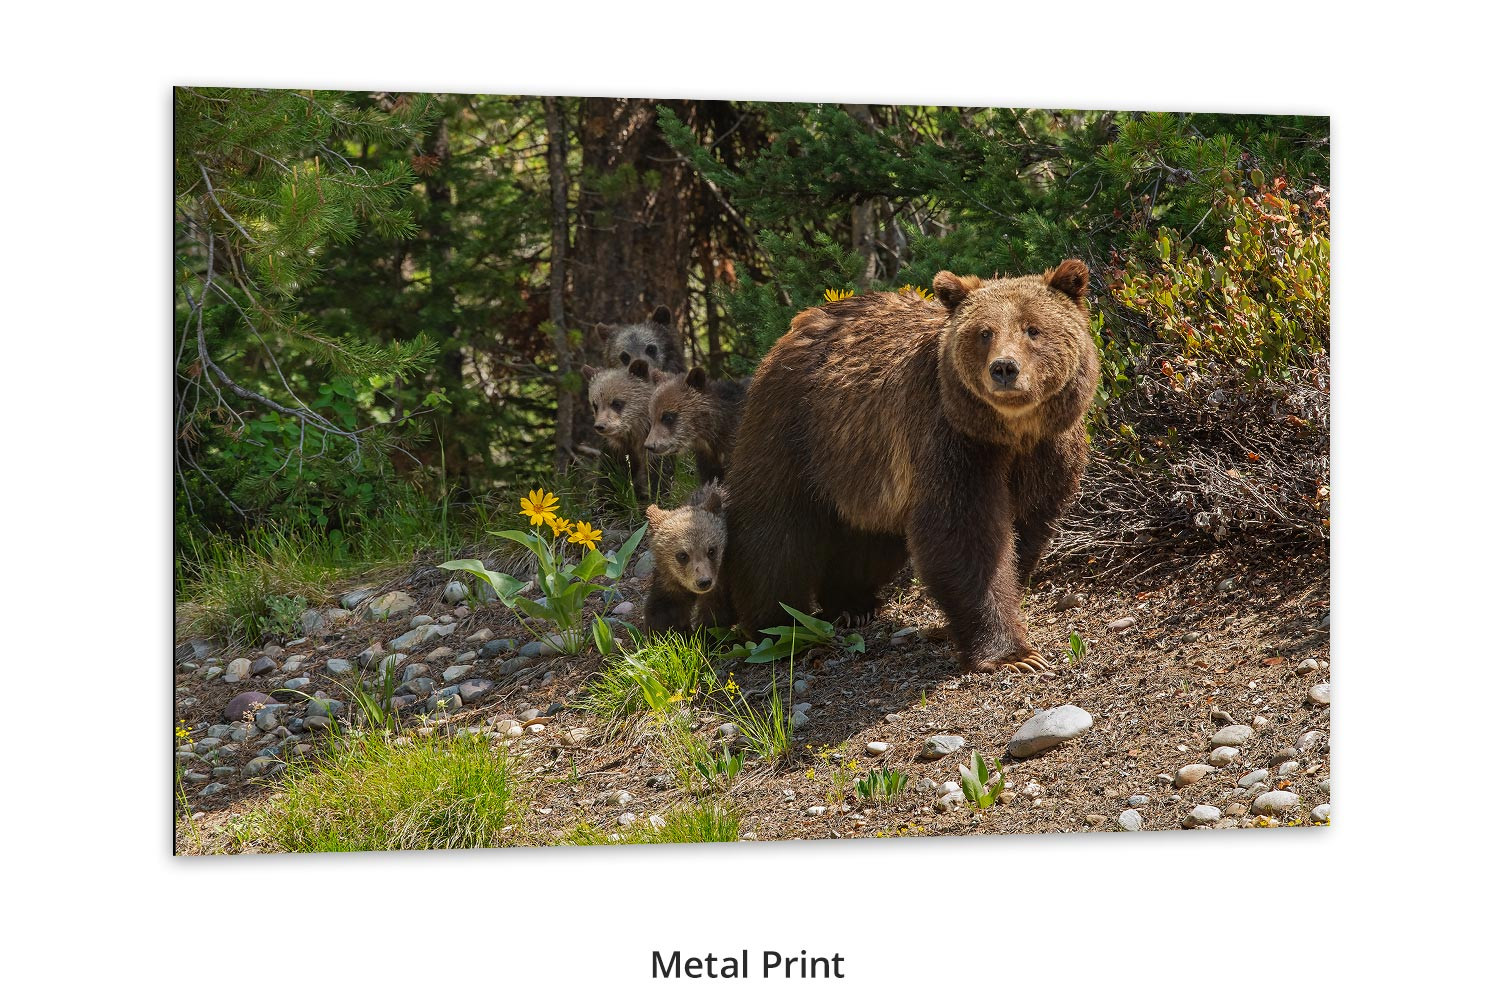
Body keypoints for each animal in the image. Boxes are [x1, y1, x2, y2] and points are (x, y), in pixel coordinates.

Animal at [643, 481, 728, 636]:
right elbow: (663, 612)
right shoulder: (670, 583)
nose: (703, 582)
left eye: (711, 550)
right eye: (682, 555)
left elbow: (716, 615)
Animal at [712, 260, 1099, 674]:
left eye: (1032, 328)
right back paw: (776, 627)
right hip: (795, 431)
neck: (1012, 432)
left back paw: (851, 604)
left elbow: (1027, 524)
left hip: (863, 466)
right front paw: (1012, 654)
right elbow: (964, 533)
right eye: (984, 332)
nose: (1005, 368)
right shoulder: (951, 441)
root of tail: (798, 323)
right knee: (773, 530)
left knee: (868, 540)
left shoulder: (1048, 452)